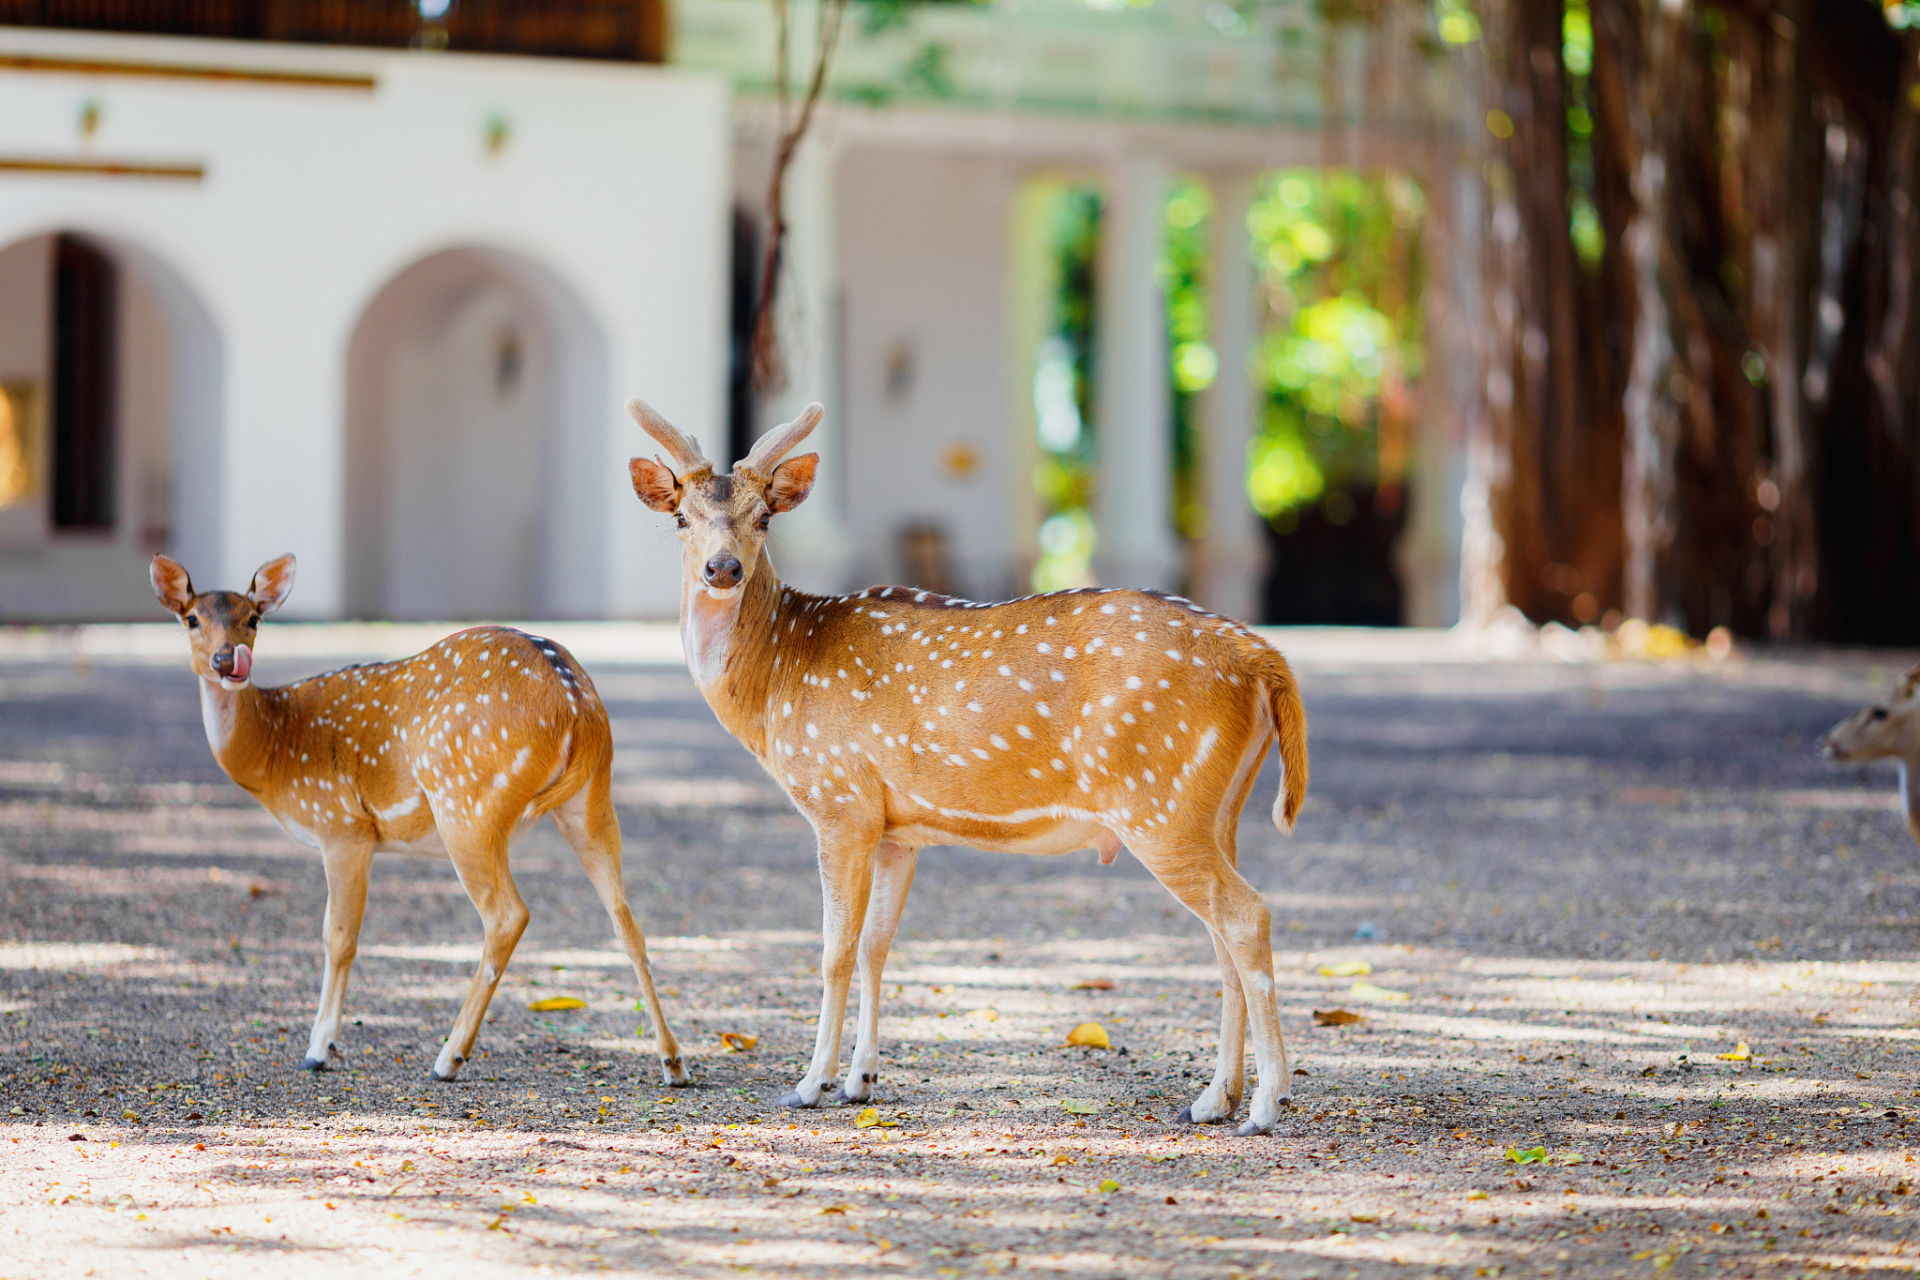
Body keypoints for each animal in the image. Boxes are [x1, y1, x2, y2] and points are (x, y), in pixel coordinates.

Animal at [149, 552, 688, 1086]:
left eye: (253, 619)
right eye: (191, 618)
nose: (227, 661)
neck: (276, 750)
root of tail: (577, 709)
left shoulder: (341, 825)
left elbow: (339, 937)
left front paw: (319, 1050)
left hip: (465, 803)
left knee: (508, 915)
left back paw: (448, 1057)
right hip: (591, 798)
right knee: (626, 919)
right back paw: (673, 1062)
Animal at [625, 398, 1310, 1136]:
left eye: (763, 517)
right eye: (681, 517)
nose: (723, 569)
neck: (776, 679)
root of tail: (1261, 657)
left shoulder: (839, 800)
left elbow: (835, 949)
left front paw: (809, 1084)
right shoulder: (897, 828)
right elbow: (877, 944)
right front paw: (860, 1081)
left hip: (1157, 800)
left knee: (1246, 917)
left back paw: (1265, 1103)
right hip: (1215, 808)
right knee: (1221, 936)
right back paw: (1214, 1099)